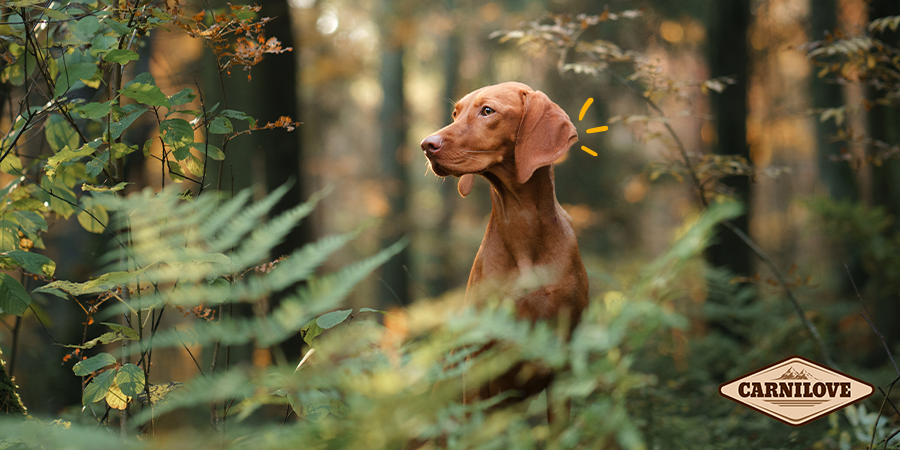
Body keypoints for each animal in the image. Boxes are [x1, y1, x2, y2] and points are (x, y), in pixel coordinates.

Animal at [418, 81, 588, 418]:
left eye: (488, 111)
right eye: (455, 113)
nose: (426, 145)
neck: (522, 225)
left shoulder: (562, 361)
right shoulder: (478, 362)